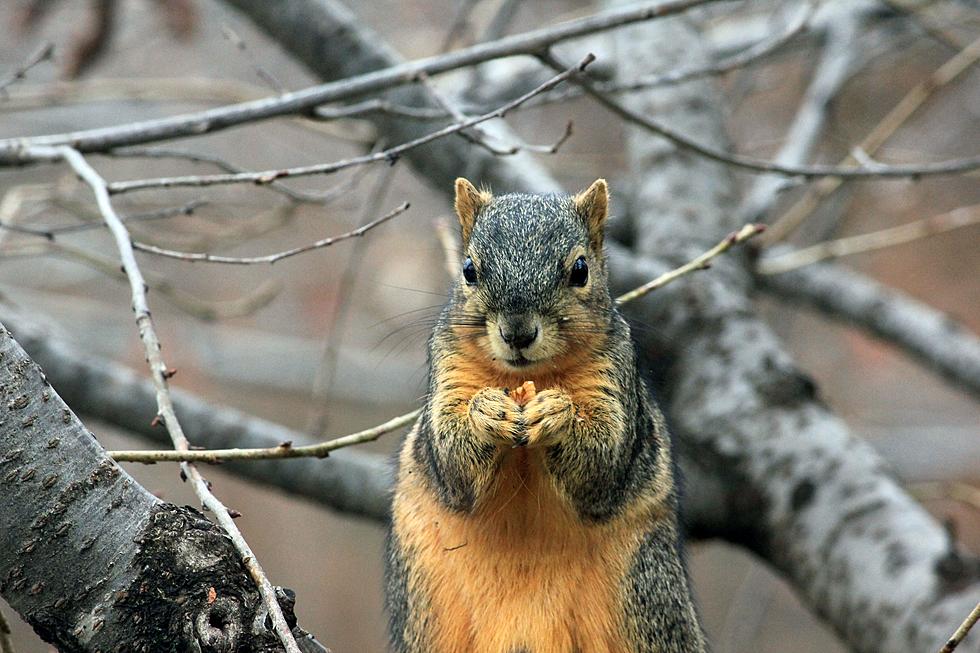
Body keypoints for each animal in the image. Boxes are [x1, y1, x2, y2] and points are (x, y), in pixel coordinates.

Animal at [382, 178, 704, 652]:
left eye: (580, 270)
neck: (526, 377)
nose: (517, 333)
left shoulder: (614, 378)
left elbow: (603, 464)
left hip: (646, 593)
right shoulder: (448, 370)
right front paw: (486, 413)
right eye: (469, 270)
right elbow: (452, 462)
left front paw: (558, 415)